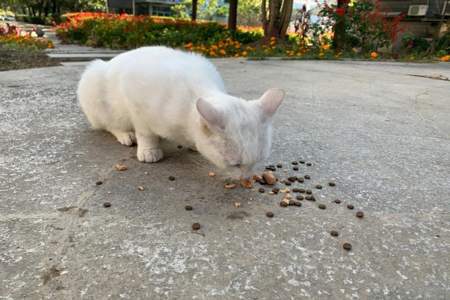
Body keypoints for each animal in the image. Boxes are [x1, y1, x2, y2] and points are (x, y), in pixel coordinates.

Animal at [76, 46, 282, 176]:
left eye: (258, 161)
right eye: (235, 165)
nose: (245, 178)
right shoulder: (137, 104)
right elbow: (145, 133)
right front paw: (149, 149)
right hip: (93, 83)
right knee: (109, 125)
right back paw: (126, 134)